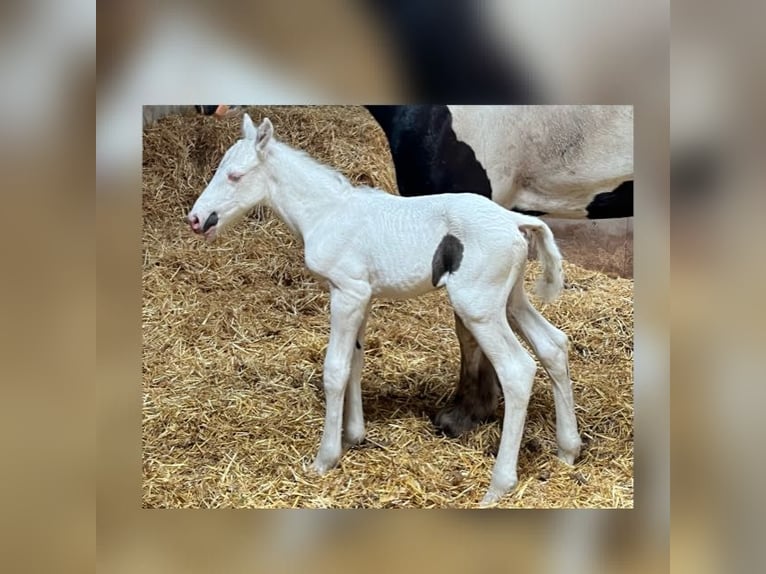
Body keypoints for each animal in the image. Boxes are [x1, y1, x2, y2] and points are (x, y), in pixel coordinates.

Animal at [188, 113, 584, 508]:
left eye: (235, 175)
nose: (195, 219)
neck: (326, 212)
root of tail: (516, 222)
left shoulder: (347, 294)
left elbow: (335, 369)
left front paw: (325, 458)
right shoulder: (361, 295)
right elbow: (355, 361)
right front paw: (354, 435)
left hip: (479, 308)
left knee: (517, 369)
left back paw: (499, 485)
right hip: (510, 300)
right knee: (553, 345)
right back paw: (568, 450)